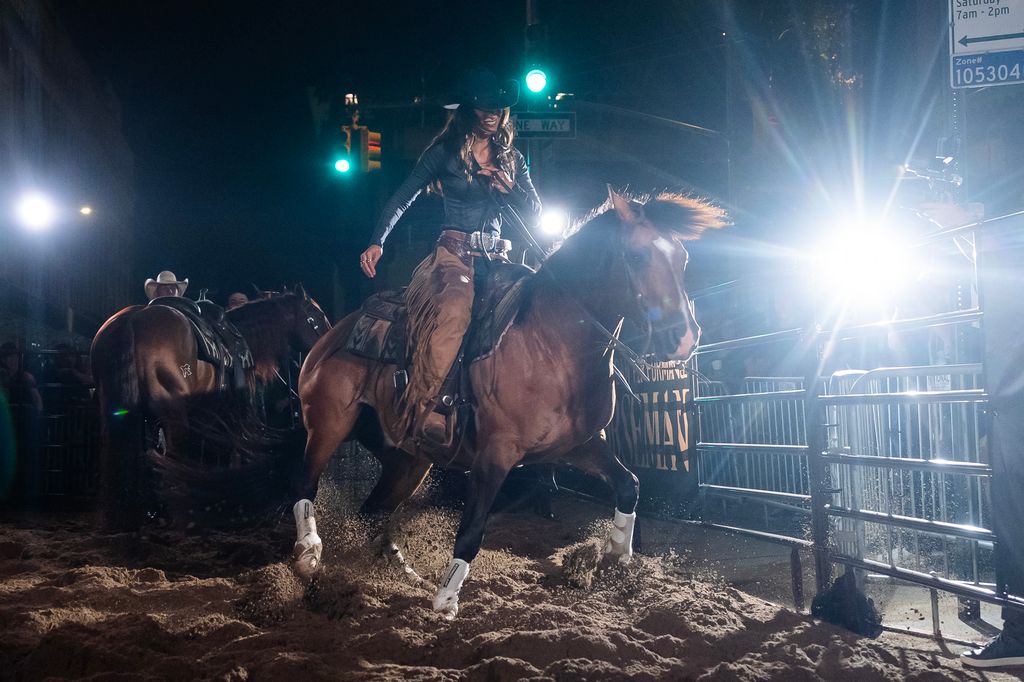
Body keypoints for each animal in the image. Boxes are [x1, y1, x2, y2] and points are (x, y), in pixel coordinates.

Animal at [292, 188, 724, 614]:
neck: (553, 345)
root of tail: (333, 334)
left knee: (372, 513)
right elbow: (471, 530)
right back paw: (309, 555)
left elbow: (629, 485)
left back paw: (400, 574)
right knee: (305, 485)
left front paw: (616, 553)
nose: (685, 338)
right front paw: (447, 599)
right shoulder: (495, 454)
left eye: (683, 258)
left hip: (407, 458)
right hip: (328, 423)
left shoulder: (582, 444)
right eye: (636, 256)